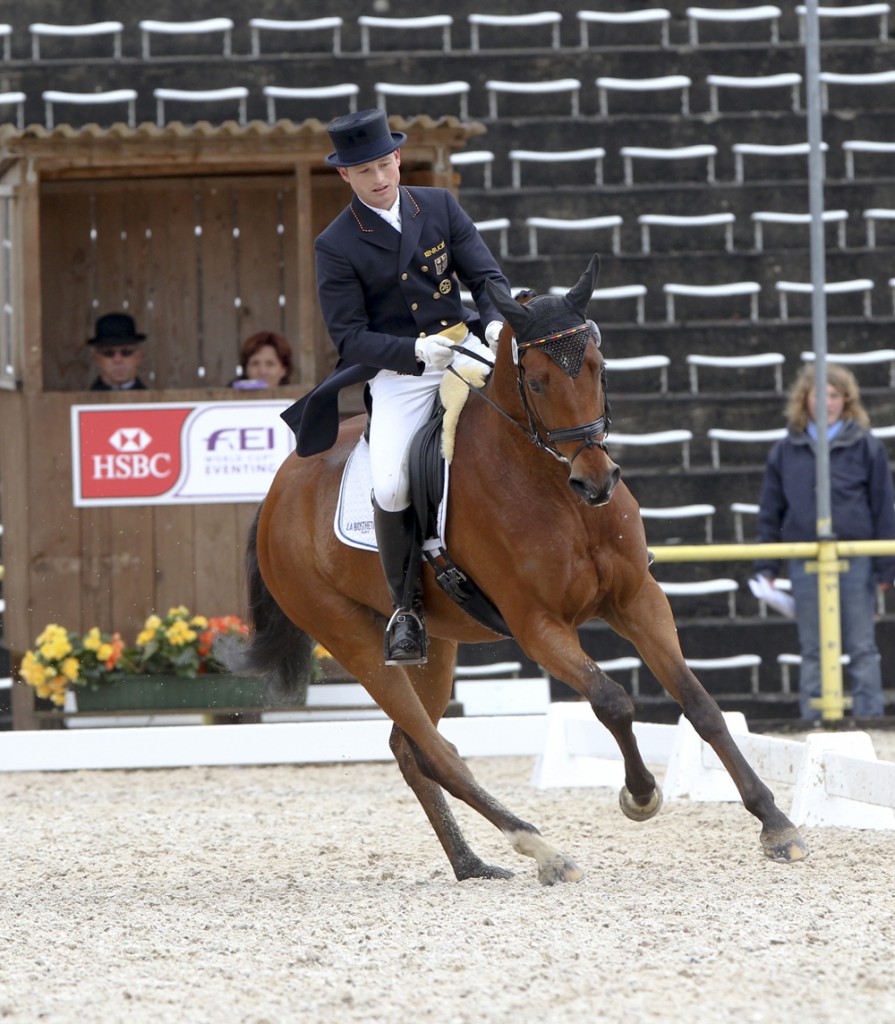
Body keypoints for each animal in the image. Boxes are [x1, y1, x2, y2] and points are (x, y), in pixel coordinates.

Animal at [240, 251, 806, 884]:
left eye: (597, 367)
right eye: (536, 382)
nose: (596, 482)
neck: (555, 490)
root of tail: (276, 492)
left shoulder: (638, 598)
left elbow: (701, 704)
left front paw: (776, 824)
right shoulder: (537, 626)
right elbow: (612, 699)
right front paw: (639, 795)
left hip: (435, 647)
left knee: (411, 749)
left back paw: (471, 864)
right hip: (350, 636)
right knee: (438, 751)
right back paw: (541, 848)